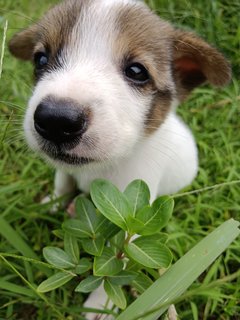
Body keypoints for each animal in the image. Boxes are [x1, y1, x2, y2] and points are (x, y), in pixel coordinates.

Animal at [9, 0, 231, 316]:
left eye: (137, 71)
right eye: (41, 59)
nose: (55, 120)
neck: (99, 169)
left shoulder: (131, 219)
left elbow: (119, 258)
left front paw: (100, 304)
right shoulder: (65, 171)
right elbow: (63, 182)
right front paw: (50, 203)